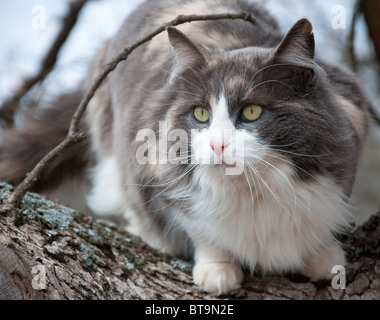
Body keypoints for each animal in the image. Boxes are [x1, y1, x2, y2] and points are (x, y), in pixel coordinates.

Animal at [0, 0, 368, 296]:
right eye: (201, 114)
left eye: (252, 112)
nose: (218, 144)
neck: (255, 192)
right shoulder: (153, 170)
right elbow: (201, 231)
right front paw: (218, 271)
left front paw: (322, 256)